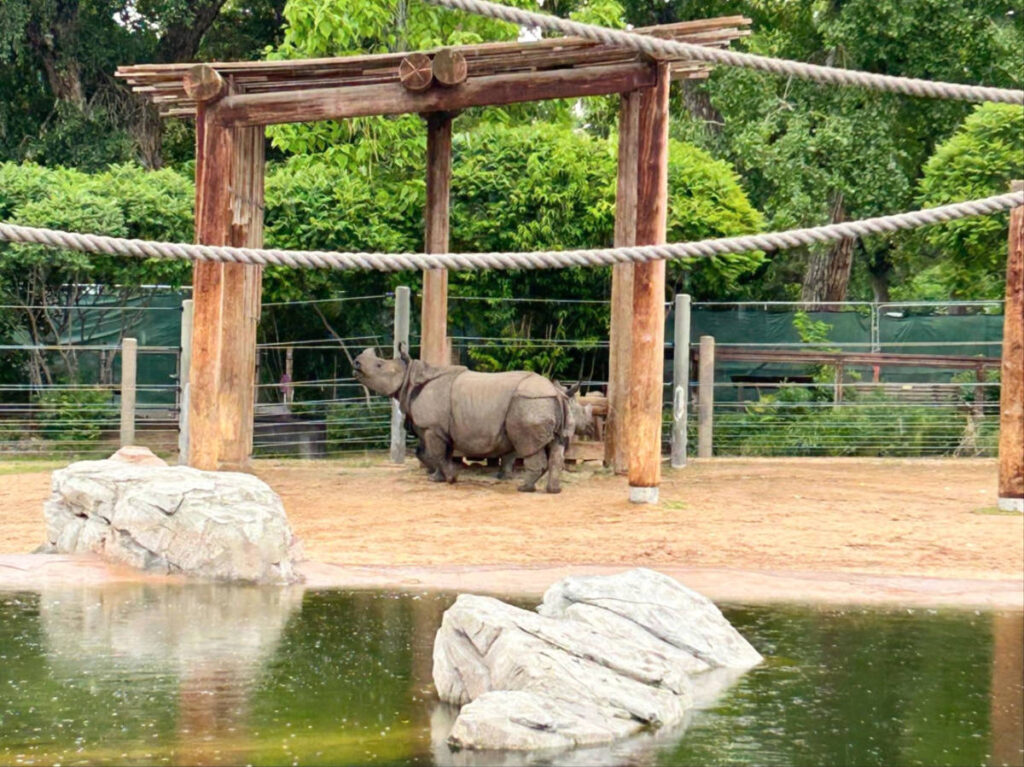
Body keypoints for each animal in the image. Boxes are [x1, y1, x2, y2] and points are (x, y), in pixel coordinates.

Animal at [353, 346, 574, 493]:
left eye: (379, 364)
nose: (356, 363)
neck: (409, 376)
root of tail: (556, 391)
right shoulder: (440, 428)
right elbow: (435, 453)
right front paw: (437, 478)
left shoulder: (431, 427)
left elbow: (435, 453)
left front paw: (452, 478)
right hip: (543, 402)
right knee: (556, 445)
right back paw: (553, 490)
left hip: (529, 403)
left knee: (528, 446)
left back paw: (524, 488)